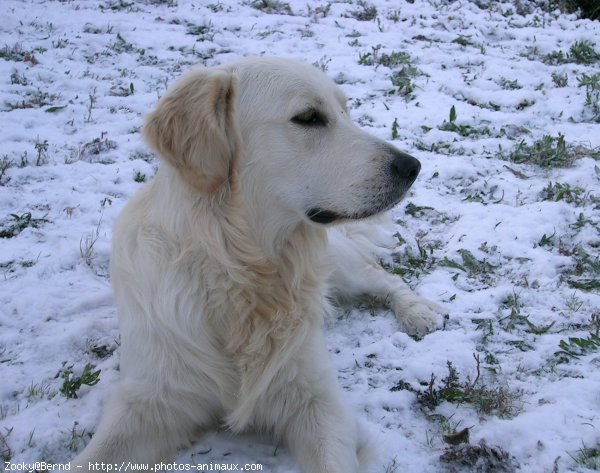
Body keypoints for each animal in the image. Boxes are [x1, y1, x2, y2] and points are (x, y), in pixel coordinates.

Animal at [72, 57, 442, 470]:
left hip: (341, 266)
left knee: (384, 278)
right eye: (309, 117)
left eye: (345, 111)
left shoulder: (316, 399)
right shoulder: (148, 396)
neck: (244, 273)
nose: (412, 166)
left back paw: (417, 311)